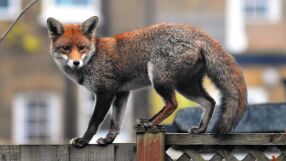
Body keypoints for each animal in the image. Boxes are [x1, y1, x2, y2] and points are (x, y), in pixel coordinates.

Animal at [47, 16, 248, 147]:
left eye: (81, 48)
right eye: (66, 48)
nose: (76, 62)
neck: (94, 58)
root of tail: (197, 32)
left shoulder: (106, 91)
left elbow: (94, 122)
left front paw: (83, 141)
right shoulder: (121, 93)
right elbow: (116, 123)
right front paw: (108, 140)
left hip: (159, 79)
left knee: (172, 104)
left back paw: (151, 124)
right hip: (186, 87)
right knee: (210, 102)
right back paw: (200, 130)